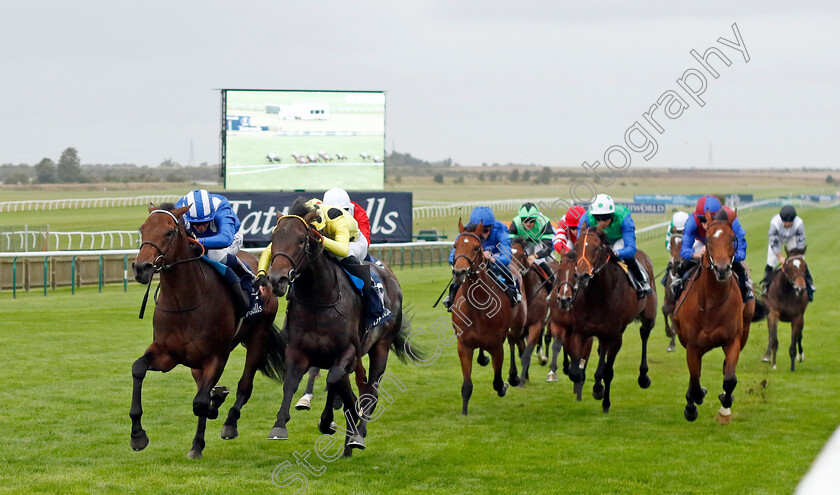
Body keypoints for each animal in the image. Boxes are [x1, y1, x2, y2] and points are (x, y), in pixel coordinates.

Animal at [131, 203, 286, 460]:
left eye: (169, 232)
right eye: (142, 229)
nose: (141, 268)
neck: (183, 302)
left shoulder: (216, 357)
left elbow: (200, 403)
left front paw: (215, 403)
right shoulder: (166, 355)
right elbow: (138, 369)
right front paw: (137, 435)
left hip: (258, 336)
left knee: (244, 386)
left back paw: (229, 423)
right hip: (196, 364)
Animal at [260, 203, 408, 460]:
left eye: (301, 239)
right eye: (272, 238)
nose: (276, 279)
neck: (320, 300)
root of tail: (389, 274)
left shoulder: (347, 352)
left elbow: (334, 381)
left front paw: (330, 420)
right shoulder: (298, 351)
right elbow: (292, 383)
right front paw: (279, 425)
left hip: (381, 345)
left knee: (371, 391)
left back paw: (358, 434)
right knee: (353, 388)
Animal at [450, 221, 520, 414]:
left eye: (476, 247)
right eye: (455, 246)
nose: (459, 272)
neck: (478, 308)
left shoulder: (497, 345)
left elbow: (497, 381)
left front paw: (504, 386)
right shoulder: (464, 345)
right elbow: (467, 385)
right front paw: (464, 412)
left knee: (515, 340)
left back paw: (514, 377)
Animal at [564, 229, 656, 414]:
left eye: (596, 248)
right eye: (576, 246)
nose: (582, 276)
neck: (598, 295)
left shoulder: (615, 336)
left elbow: (608, 371)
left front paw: (605, 403)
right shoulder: (580, 332)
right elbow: (575, 372)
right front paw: (595, 387)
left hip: (649, 317)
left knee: (644, 333)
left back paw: (643, 377)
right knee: (602, 350)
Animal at [672, 207, 764, 424]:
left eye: (733, 239)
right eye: (708, 239)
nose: (722, 269)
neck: (711, 304)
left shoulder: (733, 340)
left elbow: (729, 379)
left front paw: (725, 407)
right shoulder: (692, 346)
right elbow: (695, 380)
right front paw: (692, 405)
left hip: (745, 331)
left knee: (725, 369)